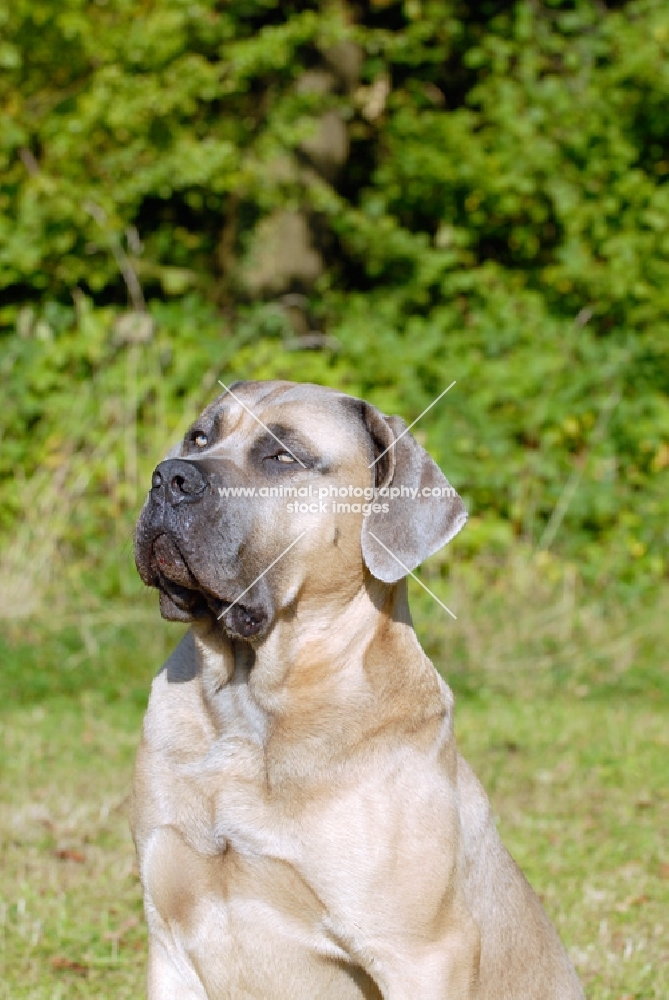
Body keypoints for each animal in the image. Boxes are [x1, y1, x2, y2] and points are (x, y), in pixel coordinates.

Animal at [133, 378, 580, 996]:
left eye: (282, 456)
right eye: (199, 437)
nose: (168, 476)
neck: (248, 706)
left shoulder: (420, 953)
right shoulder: (169, 935)